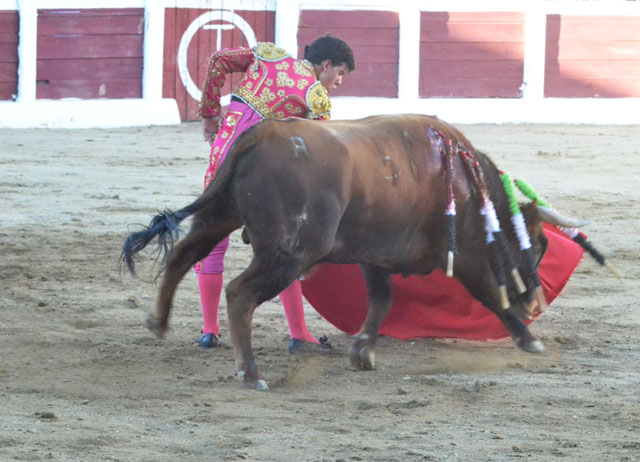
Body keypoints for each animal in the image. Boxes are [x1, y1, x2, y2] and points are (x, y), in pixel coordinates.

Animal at [121, 114, 584, 390]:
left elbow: (381, 299)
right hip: (290, 252)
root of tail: (257, 136)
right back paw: (250, 374)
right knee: (239, 292)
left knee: (185, 254)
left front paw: (362, 351)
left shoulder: (373, 255)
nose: (535, 304)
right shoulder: (467, 256)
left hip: (219, 214)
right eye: (535, 245)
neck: (473, 190)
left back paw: (159, 322)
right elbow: (490, 296)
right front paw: (529, 339)